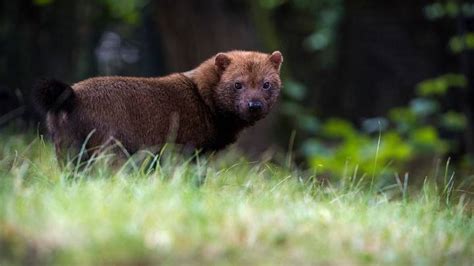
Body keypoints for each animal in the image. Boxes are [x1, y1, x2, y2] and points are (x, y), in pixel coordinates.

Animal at [35, 50, 286, 161]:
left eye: (266, 84)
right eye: (237, 84)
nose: (254, 105)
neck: (202, 99)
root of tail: (71, 95)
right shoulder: (186, 151)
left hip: (66, 150)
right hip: (109, 150)